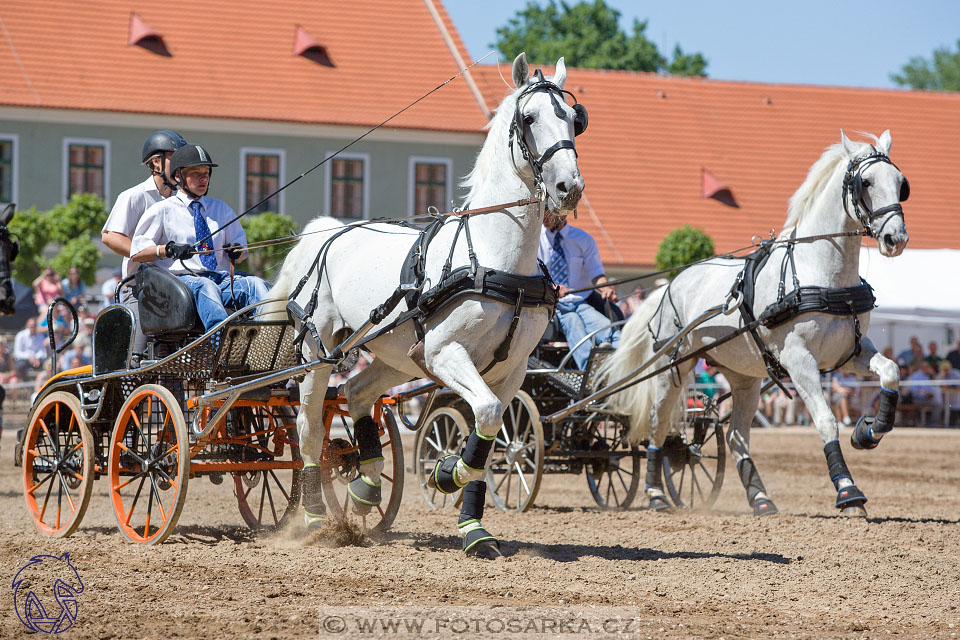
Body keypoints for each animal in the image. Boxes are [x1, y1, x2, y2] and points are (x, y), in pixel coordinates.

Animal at [268, 53, 584, 556]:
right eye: (529, 118)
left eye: (575, 119)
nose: (568, 187)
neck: (494, 257)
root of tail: (325, 232)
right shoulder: (443, 353)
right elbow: (486, 413)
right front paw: (446, 473)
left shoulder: (512, 369)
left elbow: (487, 433)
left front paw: (472, 525)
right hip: (321, 353)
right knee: (310, 427)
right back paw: (316, 517)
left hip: (396, 355)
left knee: (358, 394)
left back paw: (366, 486)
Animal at [604, 130, 912, 516]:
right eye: (865, 182)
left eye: (900, 183)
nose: (895, 239)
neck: (819, 275)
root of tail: (671, 284)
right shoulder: (799, 361)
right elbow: (826, 421)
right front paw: (848, 492)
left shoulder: (851, 354)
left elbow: (891, 372)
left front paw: (868, 431)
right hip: (672, 367)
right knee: (658, 427)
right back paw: (656, 493)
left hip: (745, 377)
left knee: (736, 435)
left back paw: (761, 498)